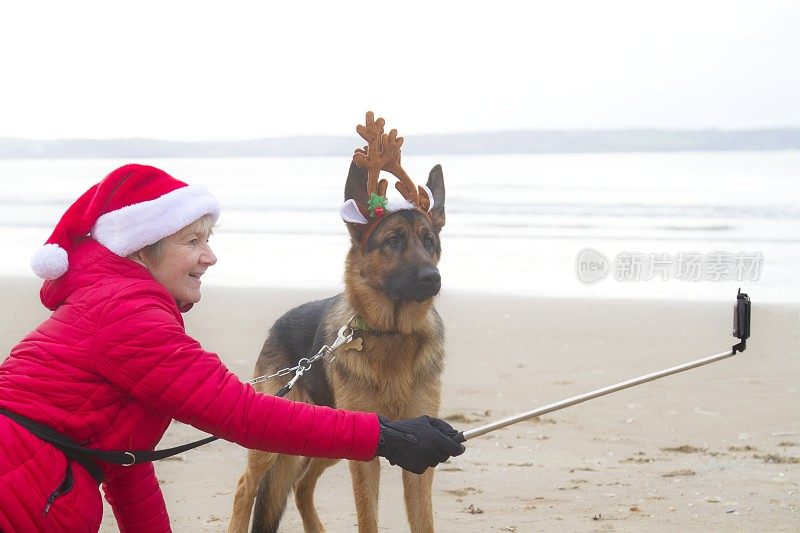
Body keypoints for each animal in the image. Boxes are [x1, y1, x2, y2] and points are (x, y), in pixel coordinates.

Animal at [228, 114, 446, 528]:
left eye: (430, 242)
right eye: (392, 240)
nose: (433, 278)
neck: (390, 332)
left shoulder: (420, 455)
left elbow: (423, 520)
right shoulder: (368, 453)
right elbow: (367, 519)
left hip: (331, 439)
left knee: (301, 486)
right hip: (274, 438)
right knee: (246, 486)